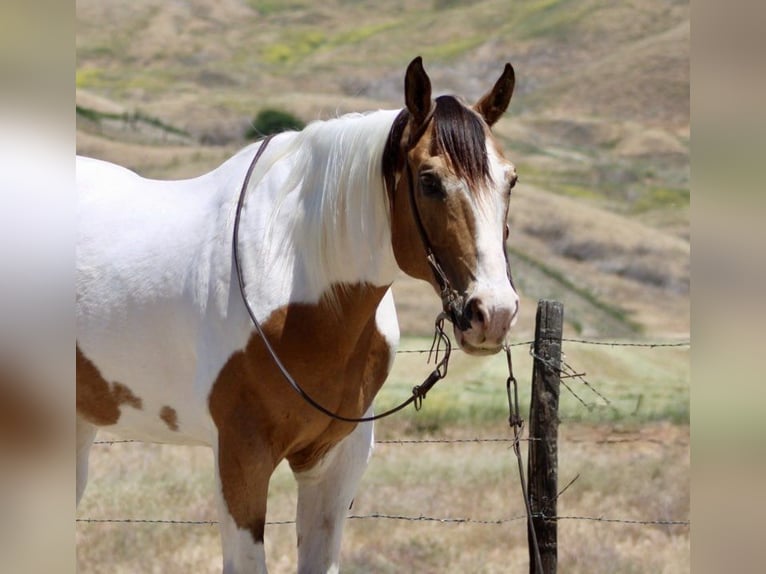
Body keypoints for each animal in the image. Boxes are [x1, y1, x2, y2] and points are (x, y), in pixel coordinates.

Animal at [76, 56, 519, 573]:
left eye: (510, 180)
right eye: (429, 181)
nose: (493, 312)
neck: (298, 279)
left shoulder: (334, 463)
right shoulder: (241, 458)